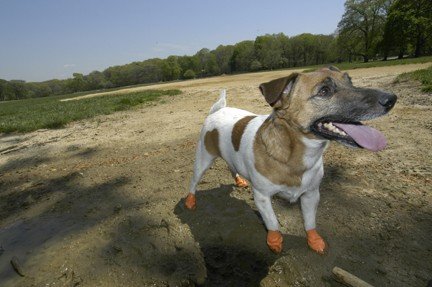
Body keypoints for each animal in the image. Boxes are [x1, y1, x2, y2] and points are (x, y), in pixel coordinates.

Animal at [184, 67, 396, 254]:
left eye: (350, 81)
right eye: (324, 91)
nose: (391, 99)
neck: (296, 156)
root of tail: (217, 111)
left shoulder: (311, 195)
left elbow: (310, 222)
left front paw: (314, 240)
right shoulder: (262, 197)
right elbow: (272, 223)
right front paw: (275, 241)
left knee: (231, 166)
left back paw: (239, 180)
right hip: (202, 161)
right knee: (193, 183)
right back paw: (190, 201)